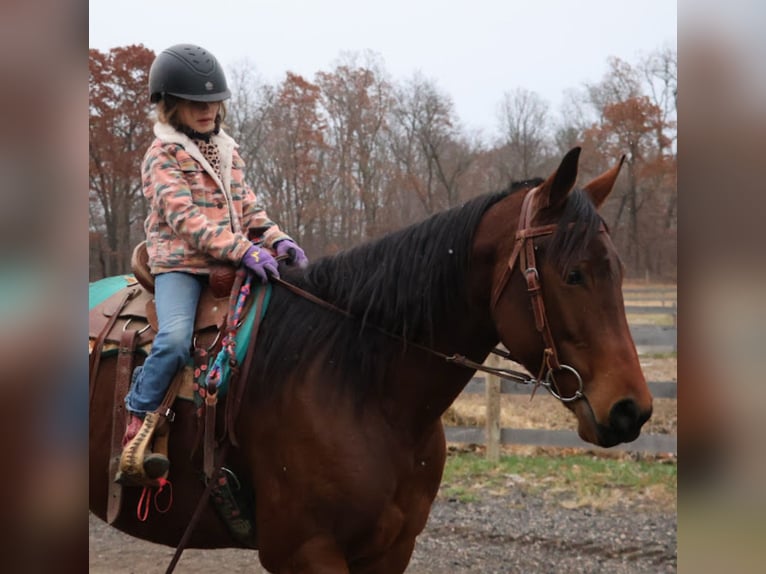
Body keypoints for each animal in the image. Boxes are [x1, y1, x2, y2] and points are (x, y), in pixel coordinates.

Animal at [89, 147, 653, 573]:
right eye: (574, 274)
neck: (361, 388)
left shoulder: (391, 550)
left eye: (620, 271)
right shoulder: (307, 554)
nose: (632, 409)